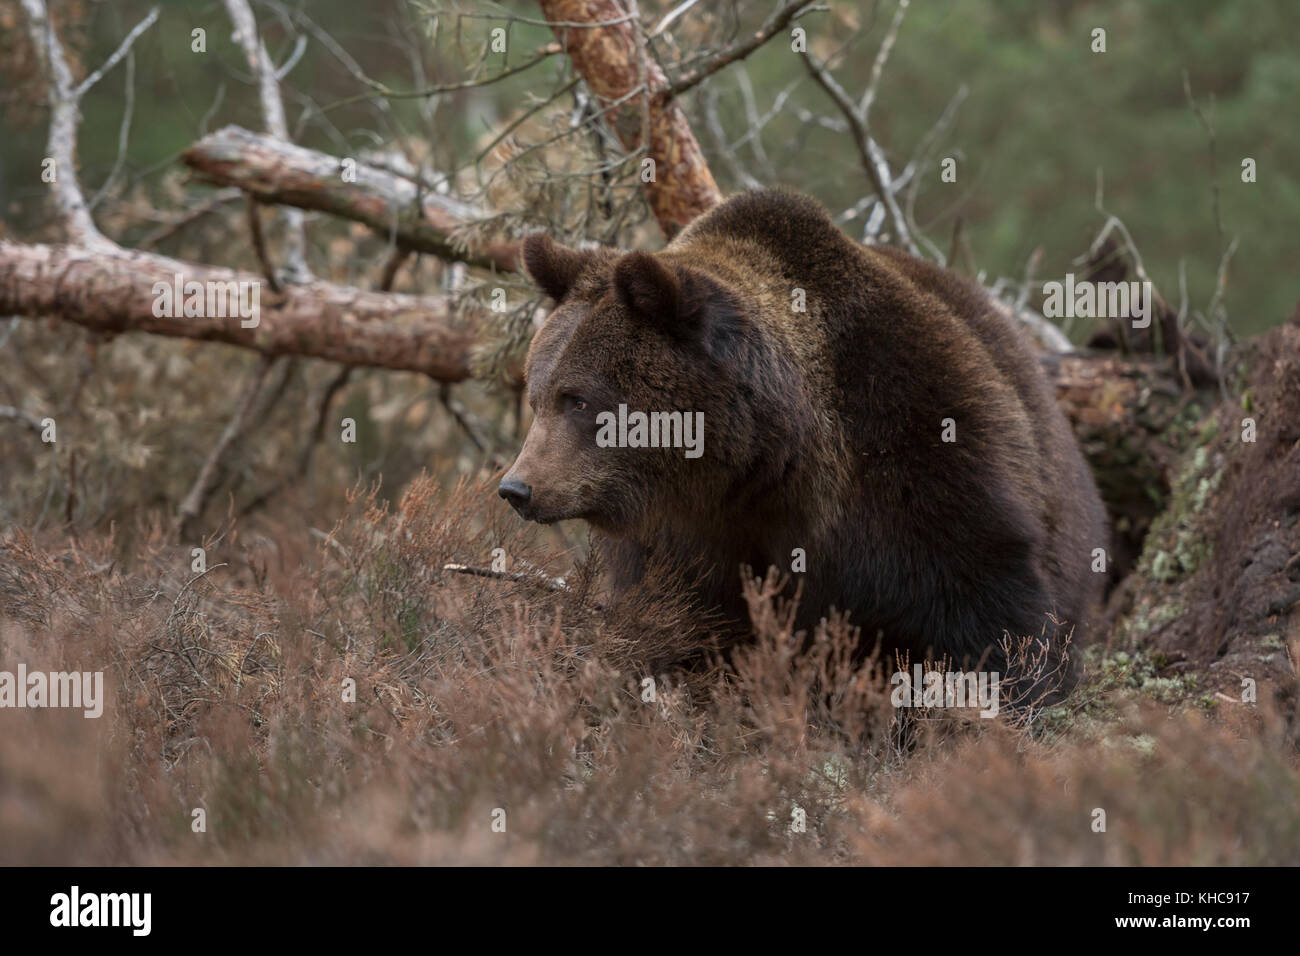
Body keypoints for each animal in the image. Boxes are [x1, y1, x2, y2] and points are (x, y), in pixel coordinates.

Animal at [496, 188, 1107, 697]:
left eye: (578, 399)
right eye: (538, 393)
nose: (517, 488)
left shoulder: (918, 452)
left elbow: (986, 608)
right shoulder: (684, 540)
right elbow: (678, 622)